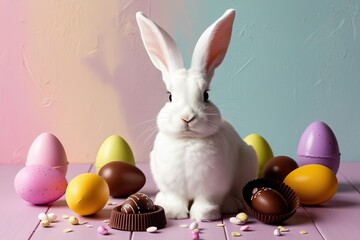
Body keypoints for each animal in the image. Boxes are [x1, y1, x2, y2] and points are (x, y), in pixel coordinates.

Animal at [136, 9, 258, 223]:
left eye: (206, 95)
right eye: (170, 96)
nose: (187, 117)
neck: (187, 140)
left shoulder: (211, 188)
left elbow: (205, 201)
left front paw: (204, 216)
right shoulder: (173, 187)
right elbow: (176, 199)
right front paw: (174, 214)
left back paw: (229, 205)